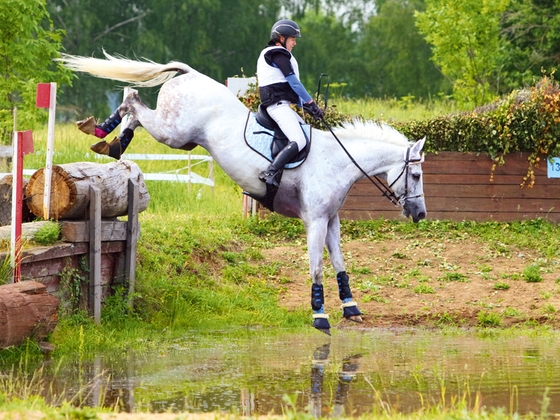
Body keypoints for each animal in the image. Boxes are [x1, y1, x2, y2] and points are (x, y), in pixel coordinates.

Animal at [57, 51, 426, 334]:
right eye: (417, 174)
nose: (420, 214)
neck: (337, 160)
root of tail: (190, 73)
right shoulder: (315, 221)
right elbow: (317, 267)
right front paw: (320, 316)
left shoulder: (331, 220)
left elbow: (339, 263)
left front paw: (351, 308)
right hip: (174, 132)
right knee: (133, 101)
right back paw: (100, 131)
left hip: (179, 137)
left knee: (134, 109)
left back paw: (111, 144)